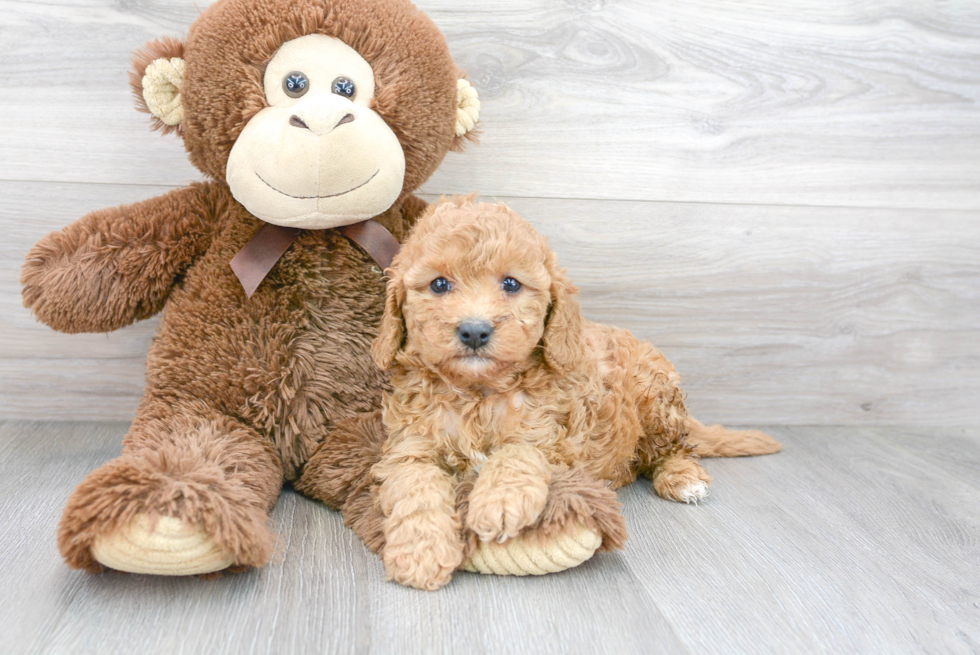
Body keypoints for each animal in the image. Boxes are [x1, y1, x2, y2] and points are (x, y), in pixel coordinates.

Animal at [368, 197, 780, 592]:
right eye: (439, 285)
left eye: (511, 284)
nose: (474, 330)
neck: (479, 392)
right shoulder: (411, 446)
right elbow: (415, 489)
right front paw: (421, 553)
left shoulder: (553, 437)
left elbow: (517, 453)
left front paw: (499, 501)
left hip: (657, 401)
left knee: (675, 450)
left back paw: (684, 478)